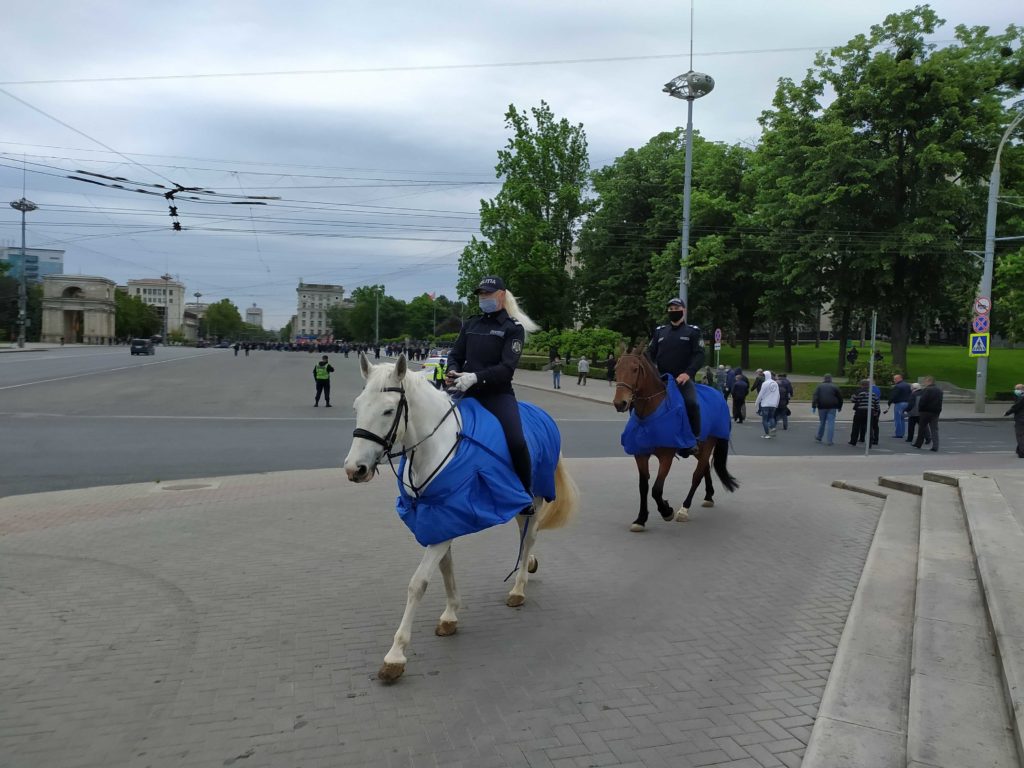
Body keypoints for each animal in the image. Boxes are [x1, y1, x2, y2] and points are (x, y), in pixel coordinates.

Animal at [344, 352, 581, 684]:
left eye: (389, 410)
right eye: (357, 407)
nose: (355, 469)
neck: (436, 447)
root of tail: (542, 414)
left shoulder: (446, 518)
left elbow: (418, 583)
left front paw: (396, 655)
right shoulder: (440, 519)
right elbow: (446, 570)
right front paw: (450, 615)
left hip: (532, 498)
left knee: (530, 537)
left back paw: (519, 587)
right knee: (524, 537)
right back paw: (529, 566)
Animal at [614, 350, 737, 536]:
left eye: (635, 369)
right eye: (616, 368)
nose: (620, 403)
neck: (651, 412)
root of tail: (718, 393)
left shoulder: (666, 456)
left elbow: (656, 489)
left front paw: (666, 510)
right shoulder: (640, 454)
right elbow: (643, 486)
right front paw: (641, 519)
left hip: (708, 443)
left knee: (697, 475)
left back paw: (684, 509)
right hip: (698, 449)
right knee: (704, 468)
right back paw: (709, 496)